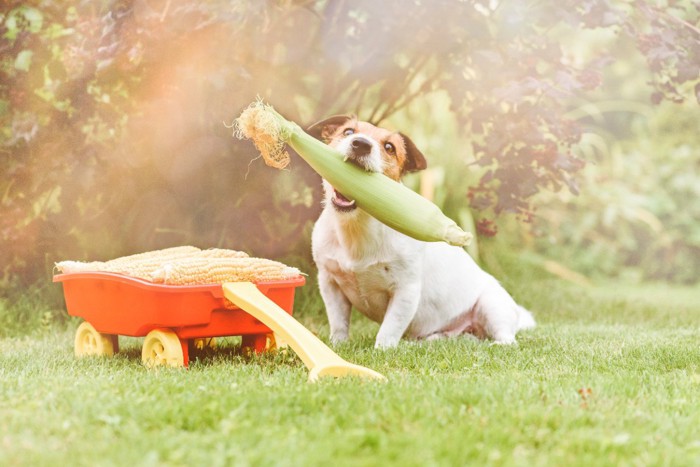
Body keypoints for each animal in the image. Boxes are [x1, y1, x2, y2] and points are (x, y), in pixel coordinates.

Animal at [308, 116, 536, 352]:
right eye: (348, 132)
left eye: (389, 147)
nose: (360, 144)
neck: (357, 226)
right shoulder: (330, 283)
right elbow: (338, 322)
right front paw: (337, 346)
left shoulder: (406, 290)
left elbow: (389, 329)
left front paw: (382, 351)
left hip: (492, 305)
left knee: (507, 338)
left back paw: (497, 344)